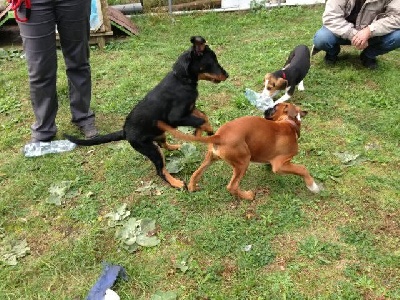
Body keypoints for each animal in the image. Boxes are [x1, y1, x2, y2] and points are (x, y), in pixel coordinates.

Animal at [65, 36, 228, 189]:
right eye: (213, 61)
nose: (227, 75)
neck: (181, 80)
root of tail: (125, 132)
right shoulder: (175, 117)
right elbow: (201, 120)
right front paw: (206, 130)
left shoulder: (190, 108)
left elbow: (202, 115)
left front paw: (200, 132)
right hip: (150, 149)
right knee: (160, 169)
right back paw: (176, 183)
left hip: (159, 136)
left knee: (163, 145)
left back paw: (176, 146)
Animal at [158, 102, 320, 199]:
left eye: (274, 108)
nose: (266, 110)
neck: (289, 123)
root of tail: (219, 135)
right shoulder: (280, 165)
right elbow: (302, 169)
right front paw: (313, 186)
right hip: (243, 162)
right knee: (232, 186)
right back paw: (248, 196)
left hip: (211, 158)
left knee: (196, 173)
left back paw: (192, 187)